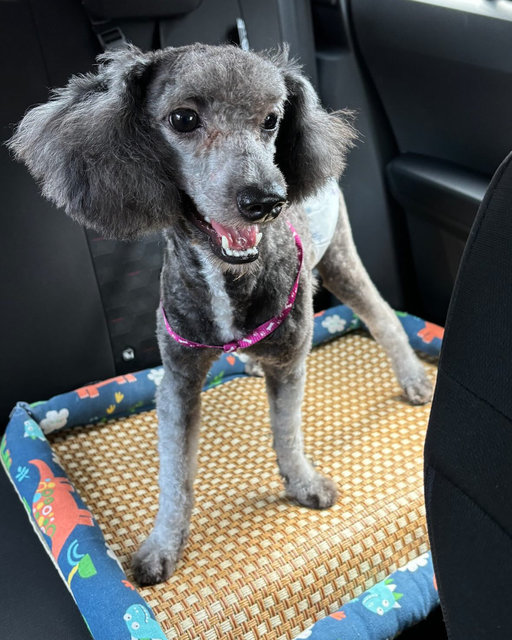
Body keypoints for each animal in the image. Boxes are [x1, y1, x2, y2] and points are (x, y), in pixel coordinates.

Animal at [9, 45, 432, 584]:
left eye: (272, 120)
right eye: (183, 118)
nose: (267, 201)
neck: (227, 274)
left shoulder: (290, 363)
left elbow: (287, 433)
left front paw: (303, 484)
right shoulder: (178, 380)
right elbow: (175, 476)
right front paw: (163, 546)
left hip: (338, 256)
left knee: (382, 316)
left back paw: (413, 379)